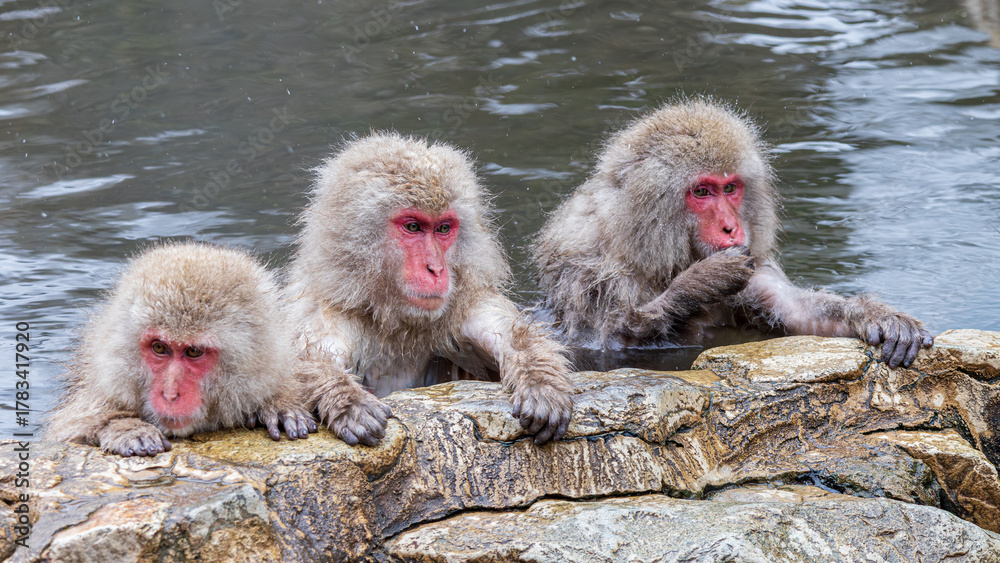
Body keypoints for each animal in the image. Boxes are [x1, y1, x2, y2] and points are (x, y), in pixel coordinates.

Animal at [285, 132, 574, 445]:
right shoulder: (321, 315)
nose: (436, 269)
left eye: (443, 228)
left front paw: (540, 383)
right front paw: (346, 397)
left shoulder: (464, 306)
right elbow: (307, 359)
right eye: (413, 227)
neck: (396, 324)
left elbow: (510, 334)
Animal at [531, 98, 934, 368]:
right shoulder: (586, 266)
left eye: (729, 188)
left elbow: (797, 312)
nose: (732, 226)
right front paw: (699, 283)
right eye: (702, 192)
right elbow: (608, 342)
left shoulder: (752, 262)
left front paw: (878, 317)